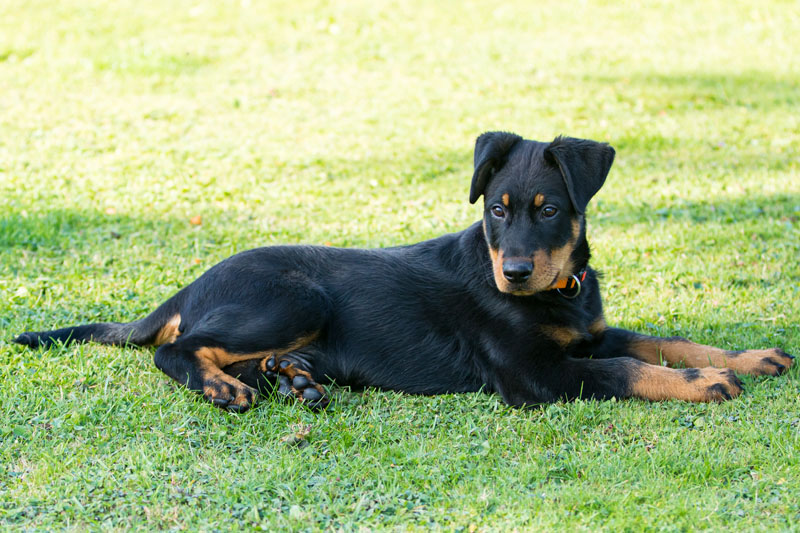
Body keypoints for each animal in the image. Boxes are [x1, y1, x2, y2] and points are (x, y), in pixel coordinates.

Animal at [14, 133, 792, 412]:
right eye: (497, 209)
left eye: (548, 209)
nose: (513, 273)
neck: (558, 294)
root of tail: (191, 284)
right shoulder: (536, 377)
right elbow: (629, 369)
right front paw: (706, 381)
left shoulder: (589, 334)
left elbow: (663, 340)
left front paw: (750, 356)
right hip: (294, 297)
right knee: (176, 349)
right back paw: (225, 387)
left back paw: (292, 379)